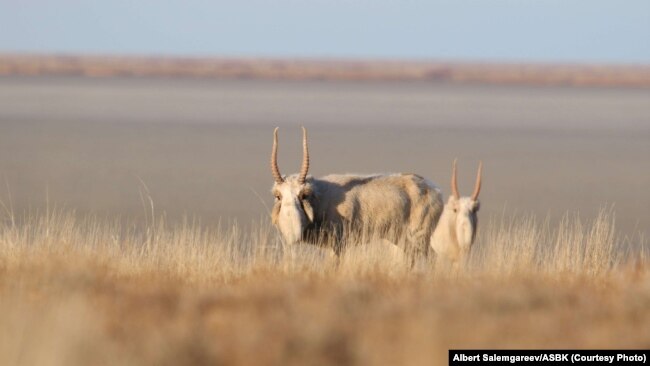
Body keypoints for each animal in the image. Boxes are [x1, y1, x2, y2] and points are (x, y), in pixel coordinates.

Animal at [268, 126, 440, 260]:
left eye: (303, 195)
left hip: (418, 237)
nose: (292, 231)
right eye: (278, 196)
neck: (321, 197)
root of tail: (435, 190)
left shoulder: (338, 246)